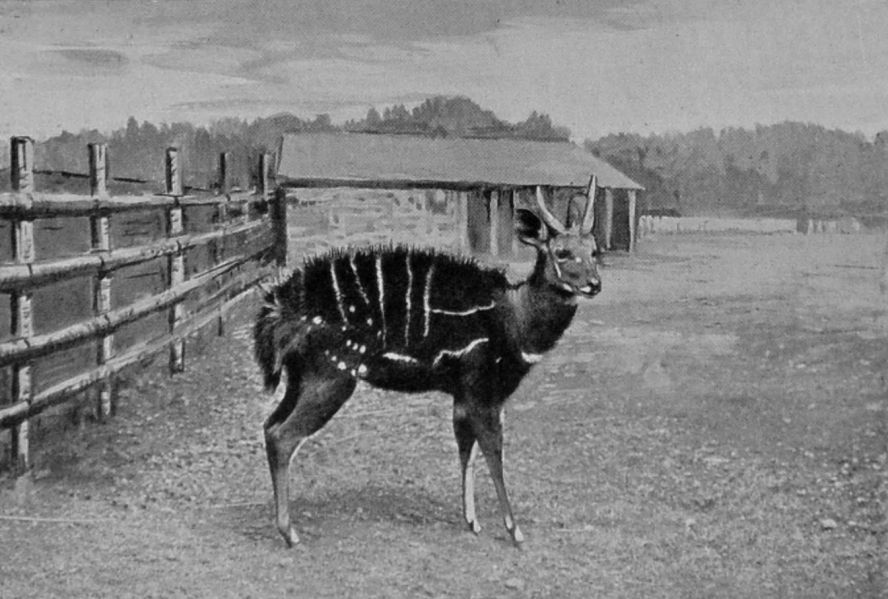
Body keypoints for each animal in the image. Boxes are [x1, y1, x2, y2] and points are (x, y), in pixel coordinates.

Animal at [254, 178, 602, 547]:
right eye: (562, 252)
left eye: (594, 251)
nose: (594, 284)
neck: (514, 319)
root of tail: (275, 313)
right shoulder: (481, 391)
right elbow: (492, 452)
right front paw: (515, 531)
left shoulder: (464, 395)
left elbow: (466, 449)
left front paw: (472, 522)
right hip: (332, 377)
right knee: (283, 436)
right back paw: (291, 533)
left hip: (300, 378)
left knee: (269, 426)